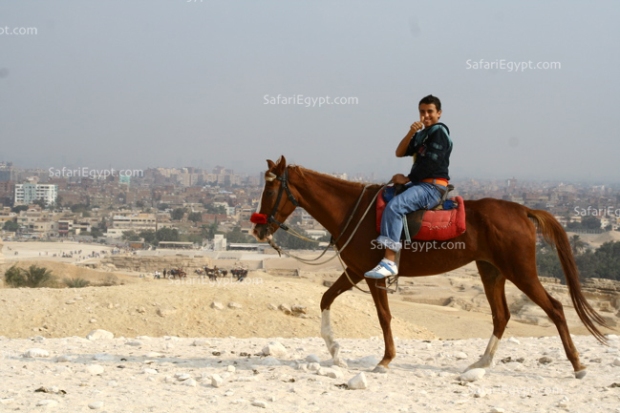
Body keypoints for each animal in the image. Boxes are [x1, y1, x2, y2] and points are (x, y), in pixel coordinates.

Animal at [253, 156, 612, 378]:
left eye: (270, 189)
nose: (258, 229)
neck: (351, 209)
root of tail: (523, 210)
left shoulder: (373, 274)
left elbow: (383, 316)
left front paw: (385, 361)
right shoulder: (355, 271)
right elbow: (326, 299)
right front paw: (336, 352)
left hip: (519, 269)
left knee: (554, 308)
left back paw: (577, 365)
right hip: (491, 269)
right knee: (501, 315)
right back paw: (481, 363)